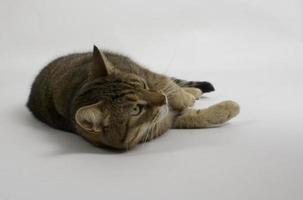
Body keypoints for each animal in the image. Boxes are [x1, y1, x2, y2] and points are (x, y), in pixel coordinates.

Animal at [27, 45, 241, 148]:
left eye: (143, 86)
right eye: (136, 109)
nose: (162, 100)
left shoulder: (150, 77)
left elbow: (169, 86)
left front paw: (185, 98)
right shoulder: (165, 121)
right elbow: (192, 118)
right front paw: (227, 109)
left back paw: (192, 92)